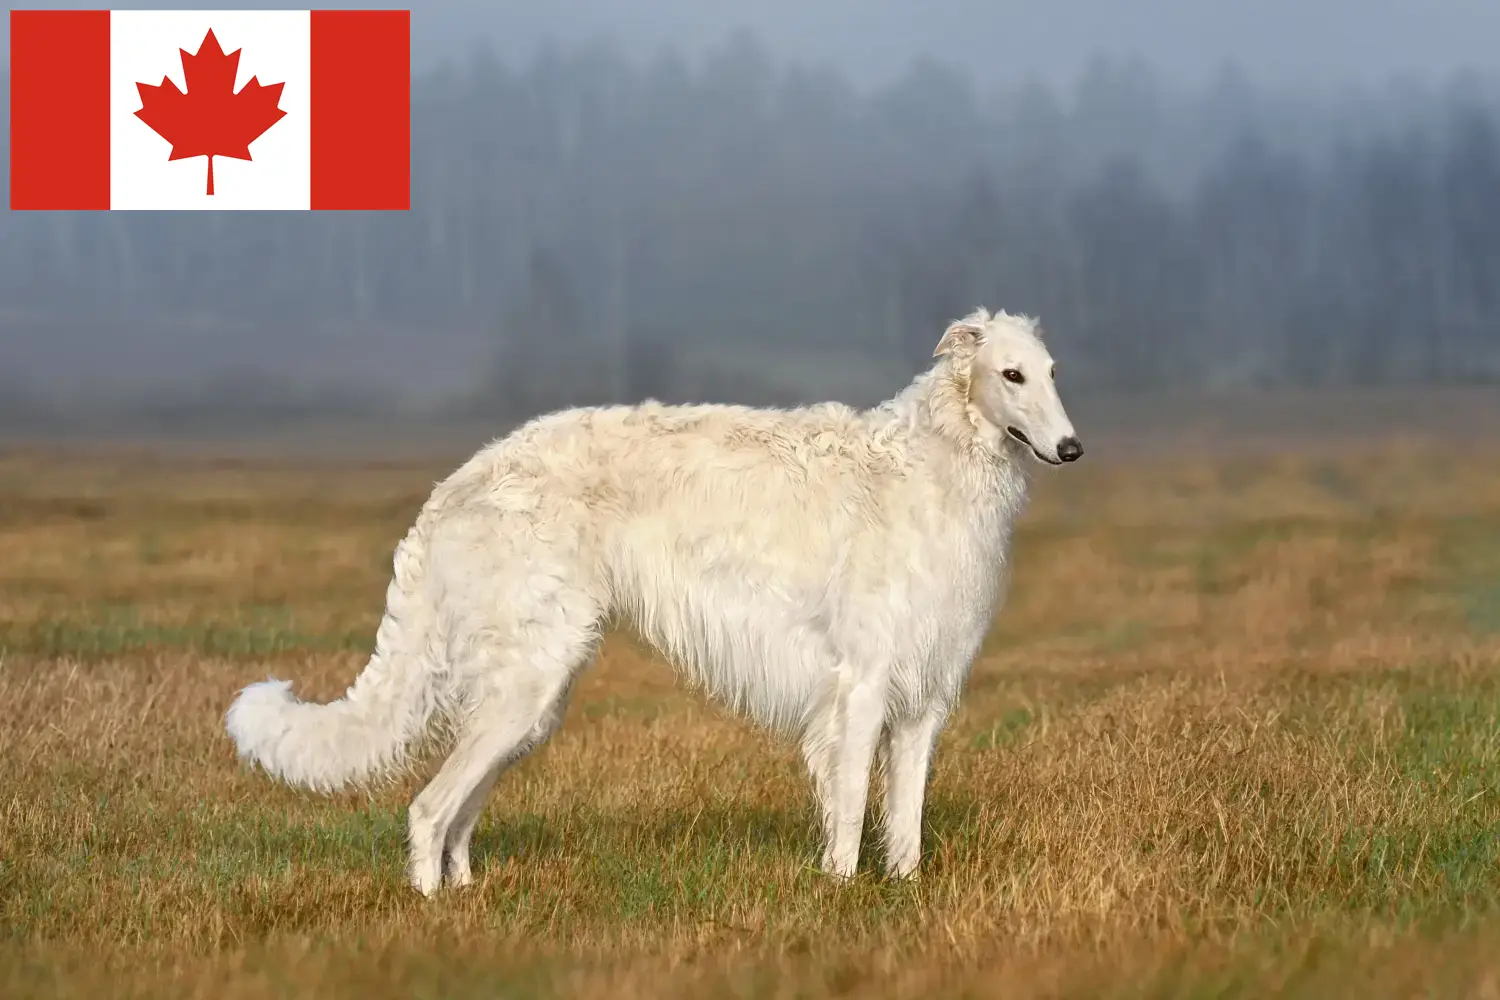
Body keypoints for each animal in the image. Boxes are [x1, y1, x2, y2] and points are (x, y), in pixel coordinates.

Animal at [225, 307, 1080, 893]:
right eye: (1010, 376)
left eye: (1052, 372)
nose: (1072, 448)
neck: (934, 463)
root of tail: (459, 481)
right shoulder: (860, 690)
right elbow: (847, 814)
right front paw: (838, 892)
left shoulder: (923, 699)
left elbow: (904, 822)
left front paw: (903, 889)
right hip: (525, 683)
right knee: (428, 808)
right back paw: (430, 908)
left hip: (529, 700)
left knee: (458, 814)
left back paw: (467, 897)